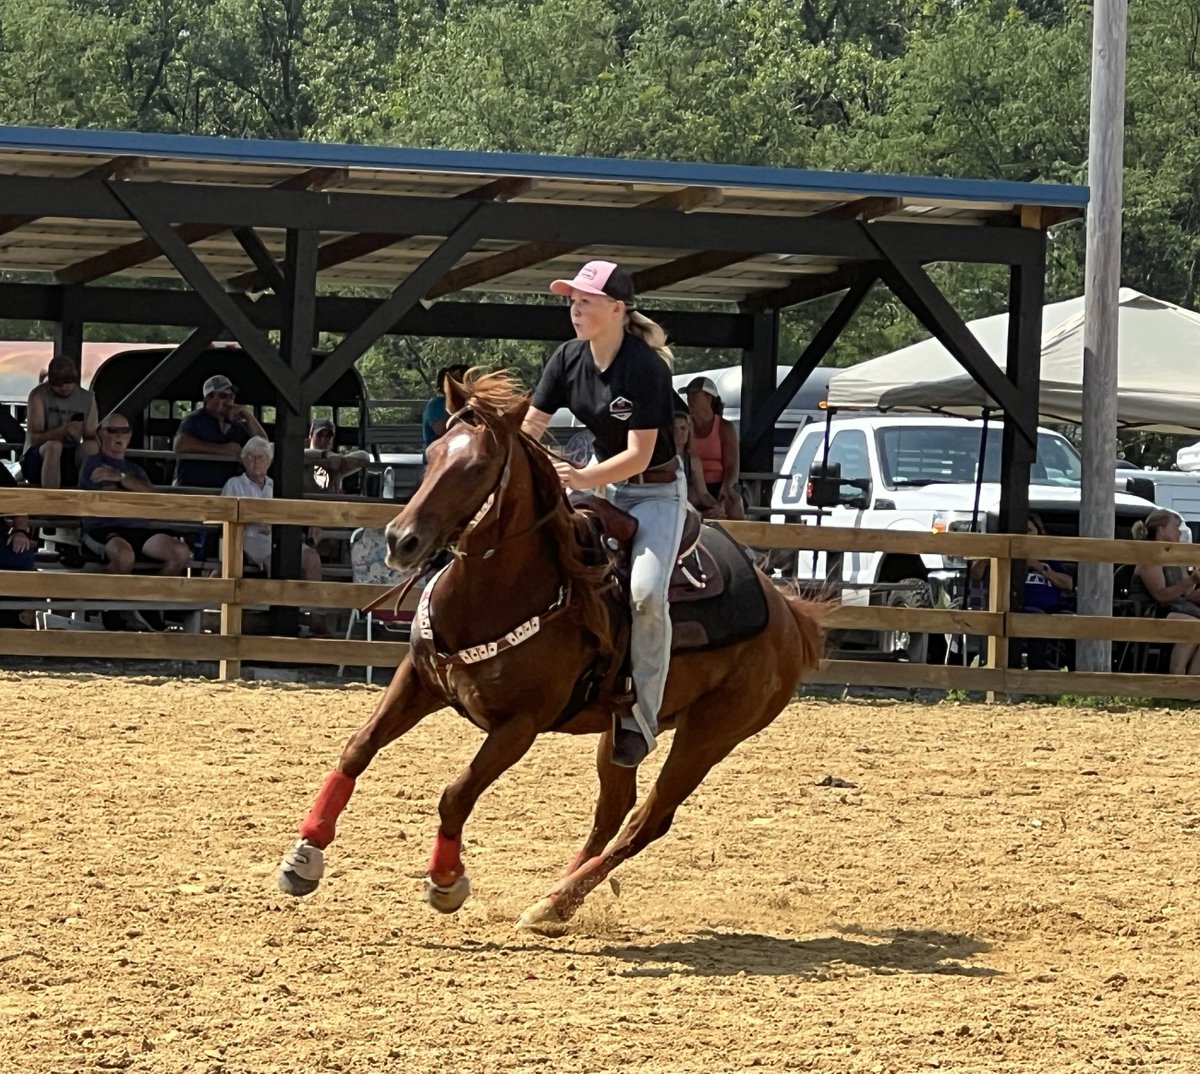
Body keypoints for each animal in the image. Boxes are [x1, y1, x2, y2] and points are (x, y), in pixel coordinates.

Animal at [277, 369, 826, 931]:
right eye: (430, 455)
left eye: (477, 467)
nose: (401, 540)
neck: (497, 594)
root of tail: (788, 615)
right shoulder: (419, 680)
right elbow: (357, 750)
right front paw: (305, 855)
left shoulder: (519, 725)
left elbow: (456, 794)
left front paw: (446, 882)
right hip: (620, 733)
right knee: (613, 809)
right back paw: (558, 894)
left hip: (710, 736)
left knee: (647, 819)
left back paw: (554, 902)